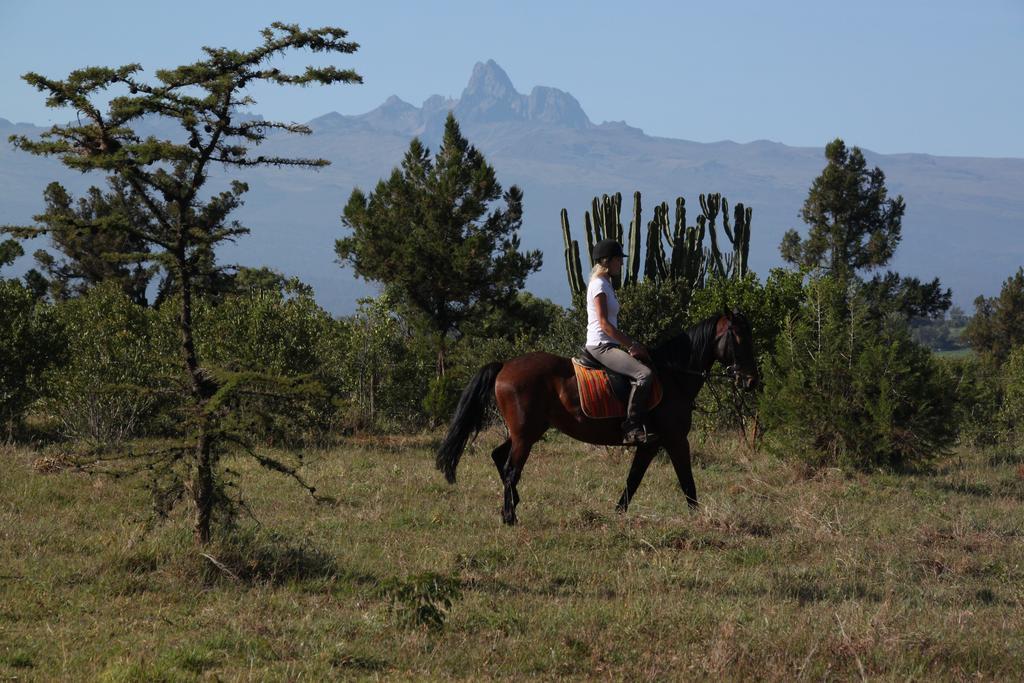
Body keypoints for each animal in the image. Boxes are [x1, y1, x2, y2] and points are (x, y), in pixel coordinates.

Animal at [434, 313, 761, 528]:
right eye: (739, 338)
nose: (751, 381)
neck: (673, 377)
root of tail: (504, 367)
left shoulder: (650, 444)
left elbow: (633, 479)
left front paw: (617, 514)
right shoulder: (675, 439)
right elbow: (687, 481)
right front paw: (698, 519)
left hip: (526, 431)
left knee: (499, 457)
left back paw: (512, 505)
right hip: (526, 435)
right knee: (511, 469)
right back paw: (510, 516)